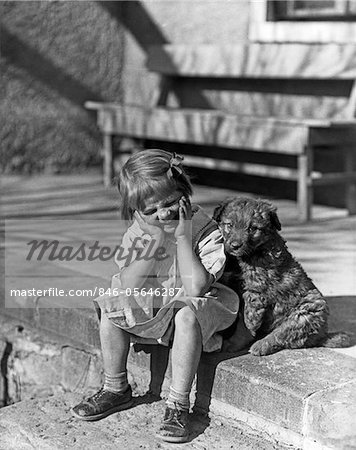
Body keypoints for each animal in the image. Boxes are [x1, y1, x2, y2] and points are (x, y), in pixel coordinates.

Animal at [213, 197, 350, 356]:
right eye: (229, 225)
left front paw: (239, 338)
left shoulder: (256, 289)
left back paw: (260, 346)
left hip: (305, 313)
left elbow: (247, 318)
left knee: (284, 335)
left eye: (253, 228)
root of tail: (322, 336)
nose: (235, 245)